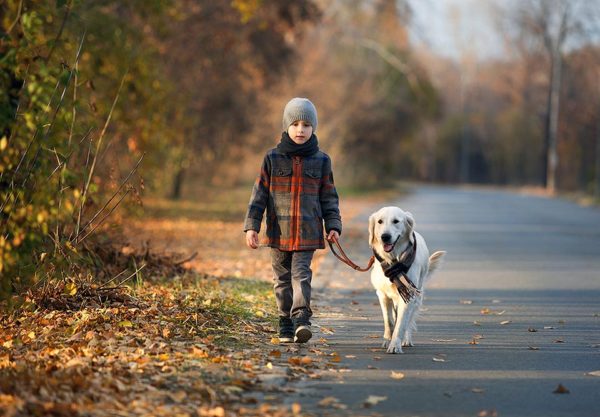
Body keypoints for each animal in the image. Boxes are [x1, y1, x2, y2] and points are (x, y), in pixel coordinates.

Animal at [366, 206, 446, 352]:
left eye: (396, 221)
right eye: (380, 221)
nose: (385, 237)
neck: (393, 260)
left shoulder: (408, 294)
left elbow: (402, 323)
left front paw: (395, 345)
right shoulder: (382, 294)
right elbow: (389, 321)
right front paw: (387, 340)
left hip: (417, 294)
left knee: (409, 320)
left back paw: (406, 339)